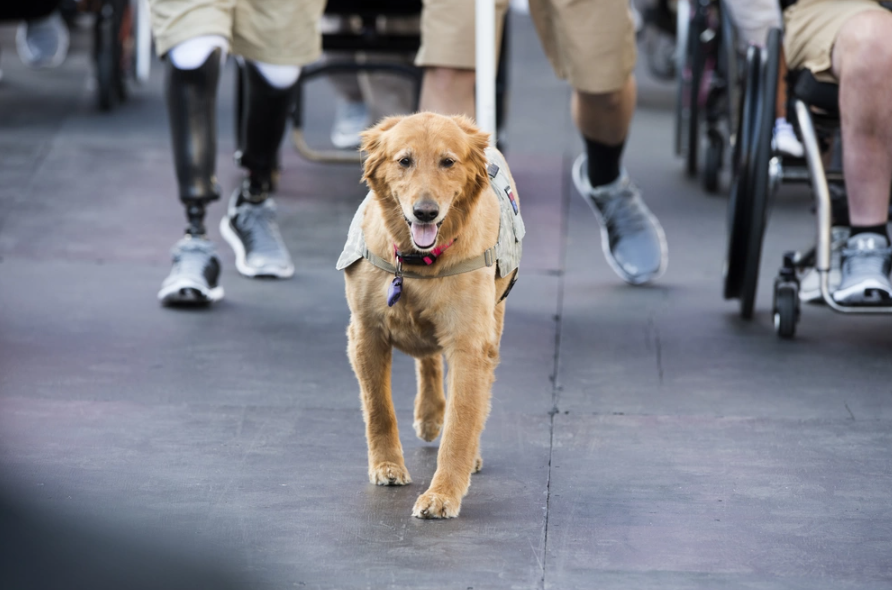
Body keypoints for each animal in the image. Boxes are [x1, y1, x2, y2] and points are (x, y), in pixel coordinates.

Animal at [340, 113, 524, 520]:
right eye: (404, 161)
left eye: (448, 162)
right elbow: (378, 407)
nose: (425, 212)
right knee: (427, 360)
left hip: (493, 320)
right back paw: (428, 416)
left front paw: (443, 494)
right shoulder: (365, 333)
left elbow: (461, 424)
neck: (416, 262)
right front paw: (387, 465)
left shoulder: (470, 345)